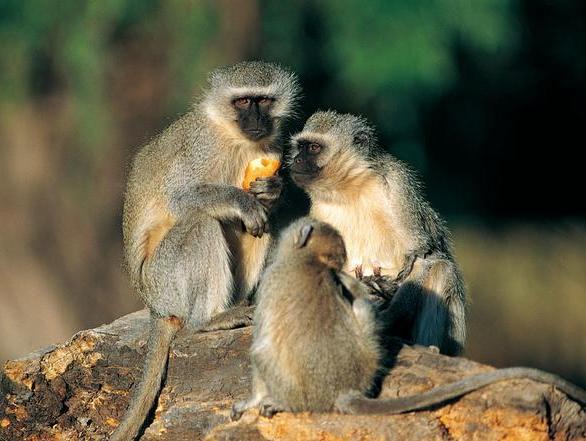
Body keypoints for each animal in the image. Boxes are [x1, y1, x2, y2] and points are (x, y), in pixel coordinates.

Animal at [230, 218, 380, 418]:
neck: (311, 258)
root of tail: (340, 391)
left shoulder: (269, 280)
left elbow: (261, 346)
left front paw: (250, 402)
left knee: (261, 353)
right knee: (361, 305)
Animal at [288, 110, 466, 354]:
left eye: (314, 148)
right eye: (300, 147)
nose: (296, 159)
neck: (351, 187)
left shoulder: (398, 184)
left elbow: (422, 258)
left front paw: (385, 318)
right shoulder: (318, 211)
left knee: (442, 269)